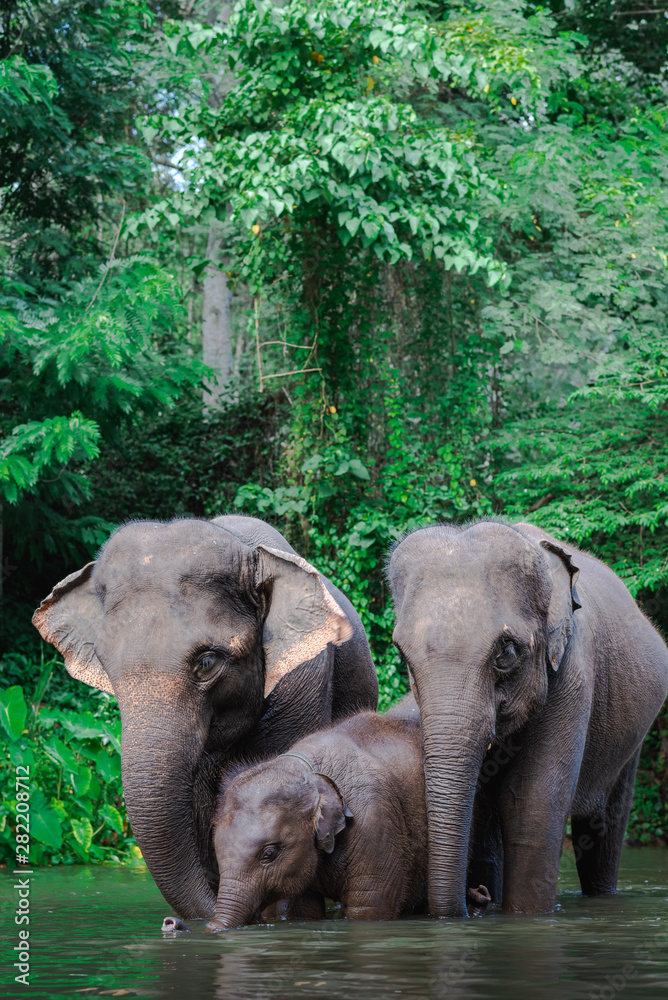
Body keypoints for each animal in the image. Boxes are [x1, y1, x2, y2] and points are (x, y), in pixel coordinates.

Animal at [204, 694, 490, 929]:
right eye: (216, 852)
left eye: (269, 854)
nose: (211, 928)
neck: (306, 771)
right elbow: (302, 912)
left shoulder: (375, 823)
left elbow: (369, 909)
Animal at [387, 520, 668, 918]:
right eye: (402, 655)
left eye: (506, 652)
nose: (476, 897)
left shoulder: (573, 676)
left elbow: (533, 803)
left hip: (632, 736)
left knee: (605, 827)